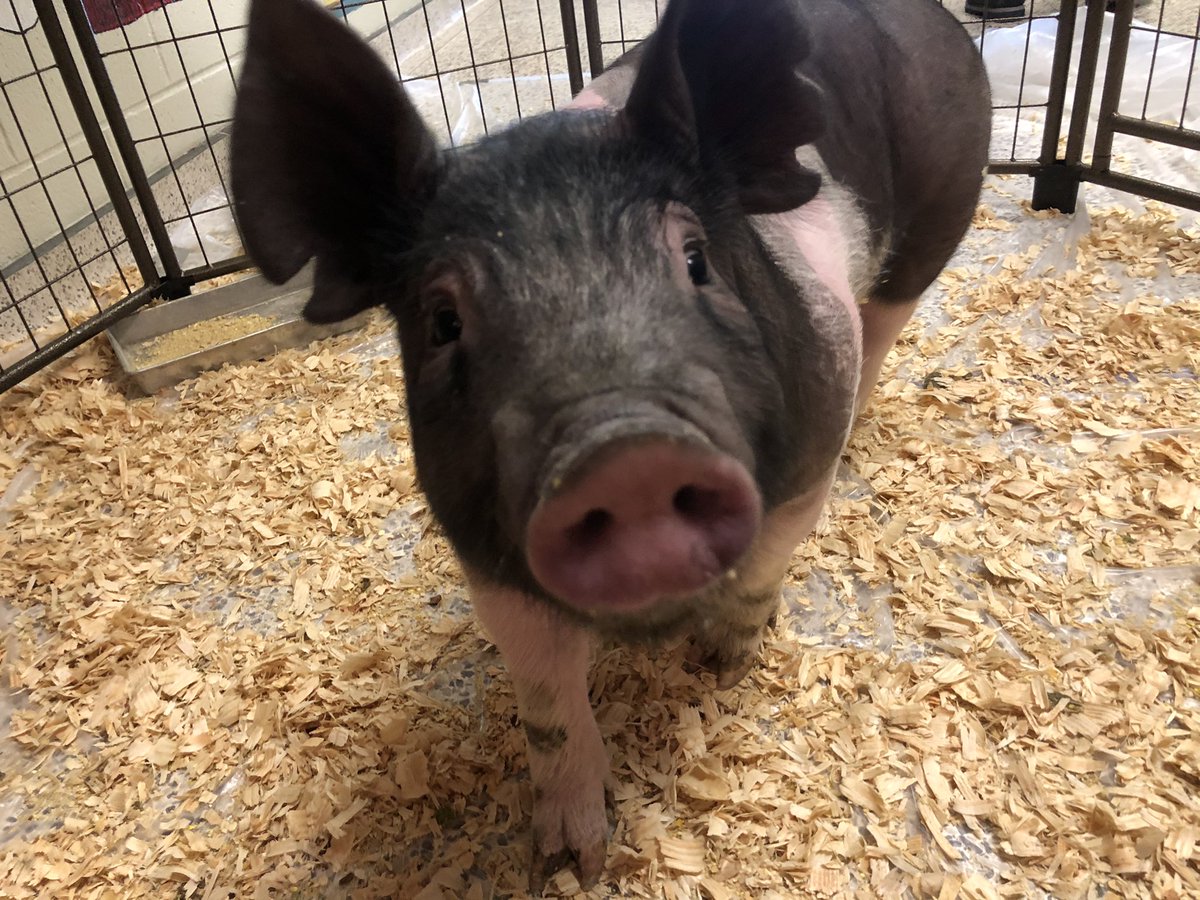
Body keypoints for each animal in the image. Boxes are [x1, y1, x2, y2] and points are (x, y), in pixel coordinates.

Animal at [230, 0, 990, 890]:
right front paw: (567, 863)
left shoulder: (807, 452)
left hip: (934, 231)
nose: (627, 455)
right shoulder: (489, 558)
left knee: (885, 329)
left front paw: (722, 662)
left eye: (695, 259)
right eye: (443, 320)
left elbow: (766, 561)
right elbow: (547, 701)